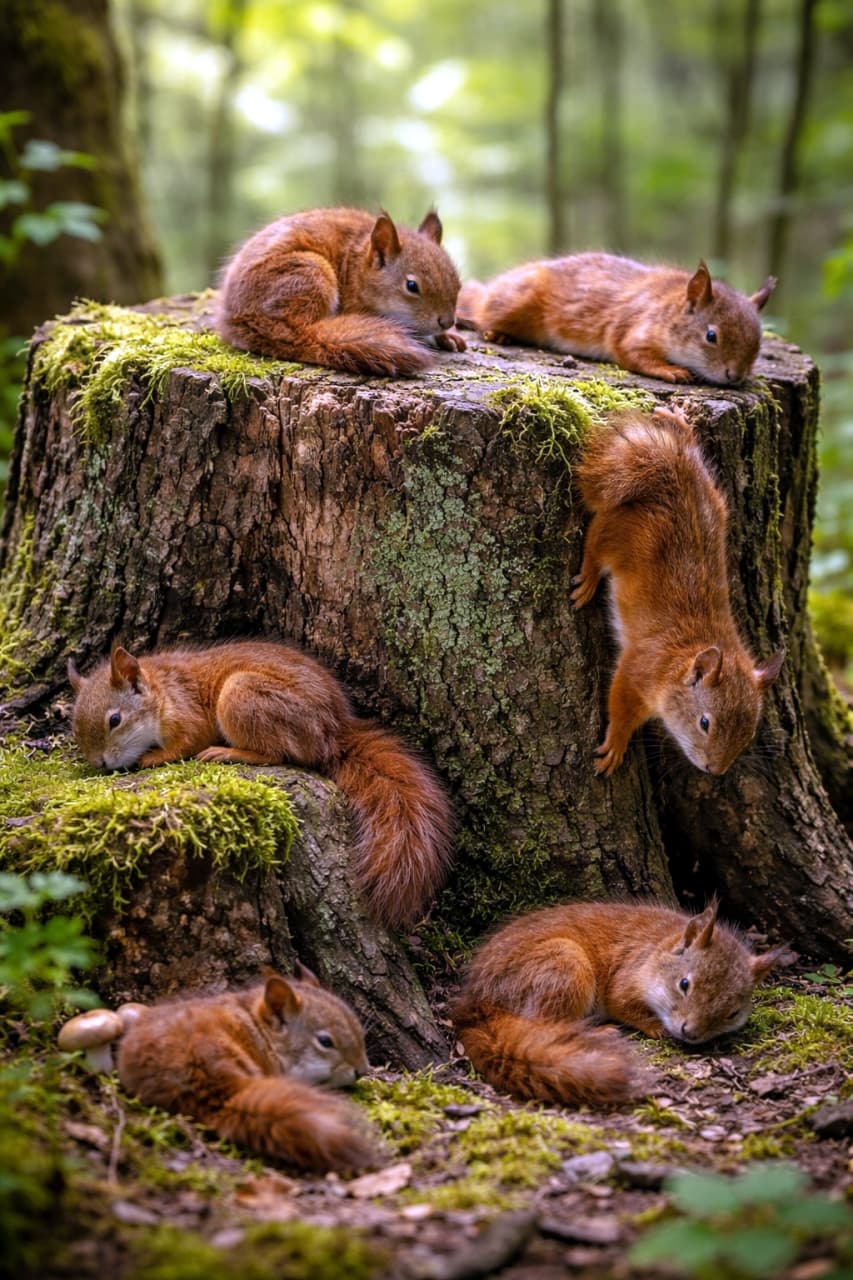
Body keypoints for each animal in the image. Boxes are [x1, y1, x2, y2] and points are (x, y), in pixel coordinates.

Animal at [67, 639, 452, 927]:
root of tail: (333, 733)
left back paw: (227, 752)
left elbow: (186, 742)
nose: (100, 763)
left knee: (278, 753)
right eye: (74, 728)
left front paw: (152, 758)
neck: (161, 690)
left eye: (115, 719)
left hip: (244, 696)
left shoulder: (186, 715)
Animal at [215, 206, 466, 377]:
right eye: (412, 286)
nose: (447, 322)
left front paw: (448, 337)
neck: (358, 267)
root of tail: (240, 319)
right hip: (311, 273)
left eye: (458, 283)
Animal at [453, 900, 794, 1108]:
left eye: (732, 1013)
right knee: (542, 1021)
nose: (690, 1032)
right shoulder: (626, 977)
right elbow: (622, 1005)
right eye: (684, 984)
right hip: (565, 966)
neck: (659, 947)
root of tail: (480, 1002)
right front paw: (655, 1027)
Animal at [456, 253, 776, 384]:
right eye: (711, 336)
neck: (667, 308)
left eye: (759, 345)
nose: (735, 376)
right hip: (515, 303)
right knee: (482, 314)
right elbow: (632, 353)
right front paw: (671, 370)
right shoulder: (633, 327)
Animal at [571, 406, 784, 775]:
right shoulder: (638, 672)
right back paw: (588, 578)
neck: (679, 660)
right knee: (595, 544)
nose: (715, 771)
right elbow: (620, 705)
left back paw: (679, 425)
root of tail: (676, 477)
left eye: (749, 732)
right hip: (619, 535)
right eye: (704, 723)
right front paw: (617, 743)